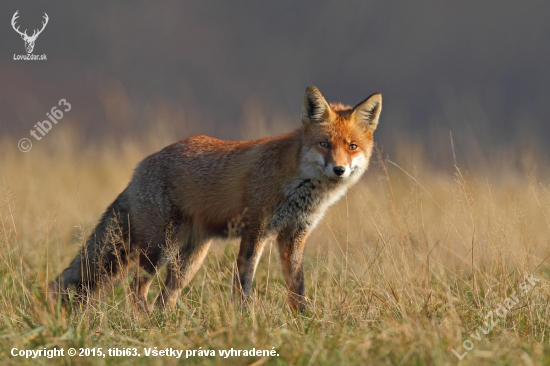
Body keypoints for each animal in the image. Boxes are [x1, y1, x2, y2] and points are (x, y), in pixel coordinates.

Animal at [48, 86, 384, 312]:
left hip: (189, 260)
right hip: (158, 250)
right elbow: (244, 284)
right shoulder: (256, 229)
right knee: (135, 289)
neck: (299, 183)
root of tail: (140, 168)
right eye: (324, 144)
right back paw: (144, 323)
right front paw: (243, 319)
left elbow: (297, 288)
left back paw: (164, 325)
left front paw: (304, 323)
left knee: (163, 297)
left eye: (352, 146)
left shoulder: (294, 236)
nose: (339, 169)